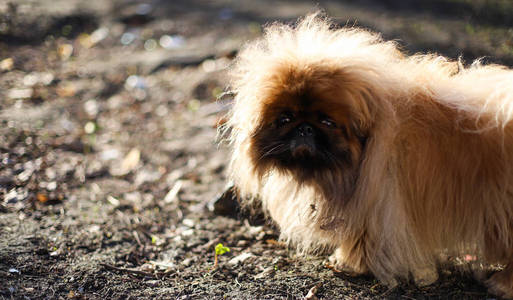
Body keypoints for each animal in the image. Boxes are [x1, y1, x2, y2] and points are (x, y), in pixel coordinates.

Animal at [226, 14, 512, 298]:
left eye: (327, 122)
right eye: (285, 118)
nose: (304, 128)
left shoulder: (376, 203)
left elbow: (362, 239)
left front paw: (348, 263)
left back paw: (502, 284)